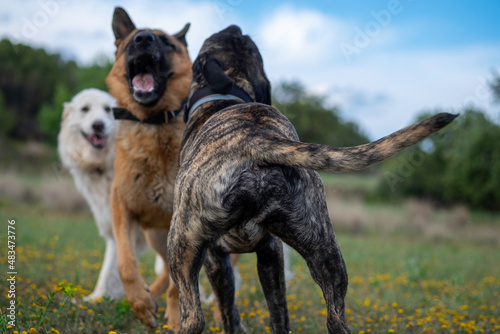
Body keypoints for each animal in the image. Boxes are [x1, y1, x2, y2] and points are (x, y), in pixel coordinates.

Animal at [57, 88, 154, 300]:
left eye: (108, 110)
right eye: (85, 109)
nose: (98, 124)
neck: (103, 165)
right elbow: (110, 269)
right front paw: (97, 298)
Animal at [105, 6, 191, 328]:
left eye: (166, 41)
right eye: (132, 41)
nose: (143, 39)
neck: (154, 123)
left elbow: (179, 284)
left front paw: (177, 317)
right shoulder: (121, 207)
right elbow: (125, 263)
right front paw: (141, 304)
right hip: (155, 238)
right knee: (165, 269)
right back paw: (150, 296)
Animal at [167, 26, 458, 334]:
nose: (236, 28)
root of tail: (257, 138)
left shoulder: (216, 258)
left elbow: (228, 311)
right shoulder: (271, 252)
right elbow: (277, 310)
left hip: (181, 246)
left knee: (193, 317)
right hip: (326, 254)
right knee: (334, 319)